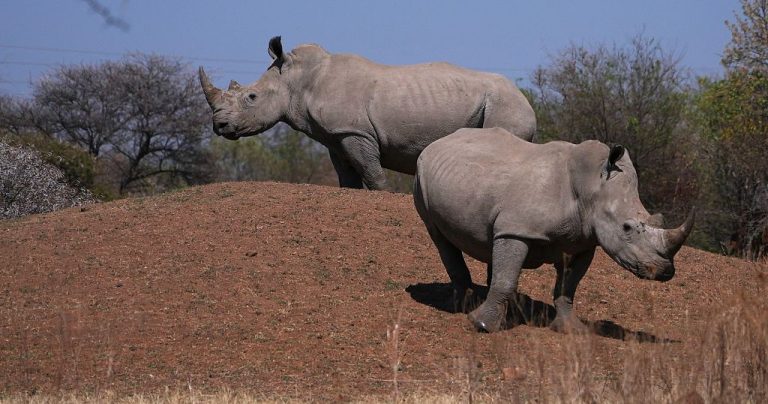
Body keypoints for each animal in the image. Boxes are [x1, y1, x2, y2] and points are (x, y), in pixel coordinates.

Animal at [198, 36, 536, 190]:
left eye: (251, 97)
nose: (219, 125)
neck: (298, 81)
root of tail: (527, 102)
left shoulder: (354, 131)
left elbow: (373, 175)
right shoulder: (335, 136)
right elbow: (347, 177)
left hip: (505, 106)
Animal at [413, 127, 695, 333]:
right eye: (626, 227)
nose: (664, 271)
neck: (591, 186)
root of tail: (442, 139)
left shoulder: (583, 241)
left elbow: (568, 287)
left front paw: (570, 329)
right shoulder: (518, 229)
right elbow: (507, 278)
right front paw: (481, 325)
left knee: (493, 245)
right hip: (422, 172)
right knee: (439, 235)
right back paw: (464, 305)